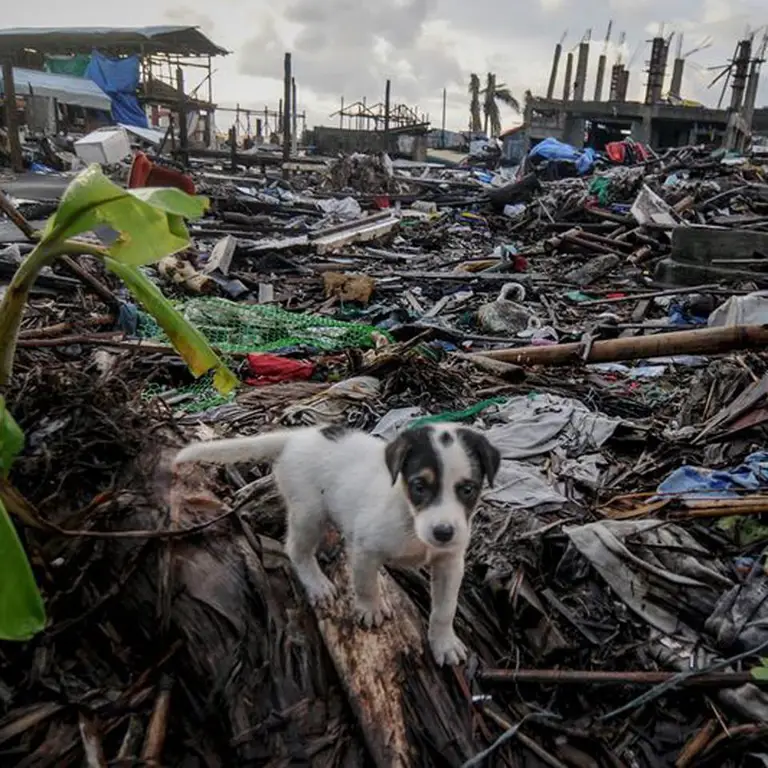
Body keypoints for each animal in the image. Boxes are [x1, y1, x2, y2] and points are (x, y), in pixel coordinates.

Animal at [172, 420, 504, 664]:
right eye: (420, 486)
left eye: (468, 489)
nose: (443, 533)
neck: (409, 517)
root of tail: (297, 437)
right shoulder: (365, 549)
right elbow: (365, 584)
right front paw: (370, 609)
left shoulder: (450, 563)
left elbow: (445, 608)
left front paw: (444, 643)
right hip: (308, 512)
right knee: (296, 549)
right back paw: (317, 584)